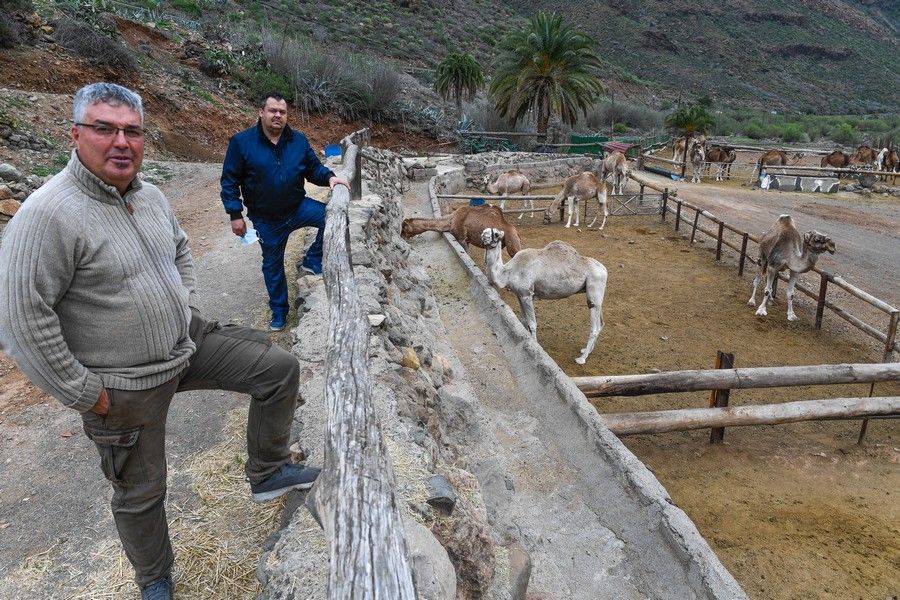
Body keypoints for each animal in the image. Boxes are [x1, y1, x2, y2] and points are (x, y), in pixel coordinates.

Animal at [482, 227, 608, 364]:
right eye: (484, 231)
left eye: (496, 234)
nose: (483, 236)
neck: (508, 272)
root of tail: (604, 270)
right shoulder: (520, 295)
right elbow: (524, 320)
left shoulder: (526, 294)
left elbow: (532, 323)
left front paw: (535, 347)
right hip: (597, 295)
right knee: (601, 323)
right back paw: (586, 350)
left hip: (594, 287)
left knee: (594, 327)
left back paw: (581, 358)